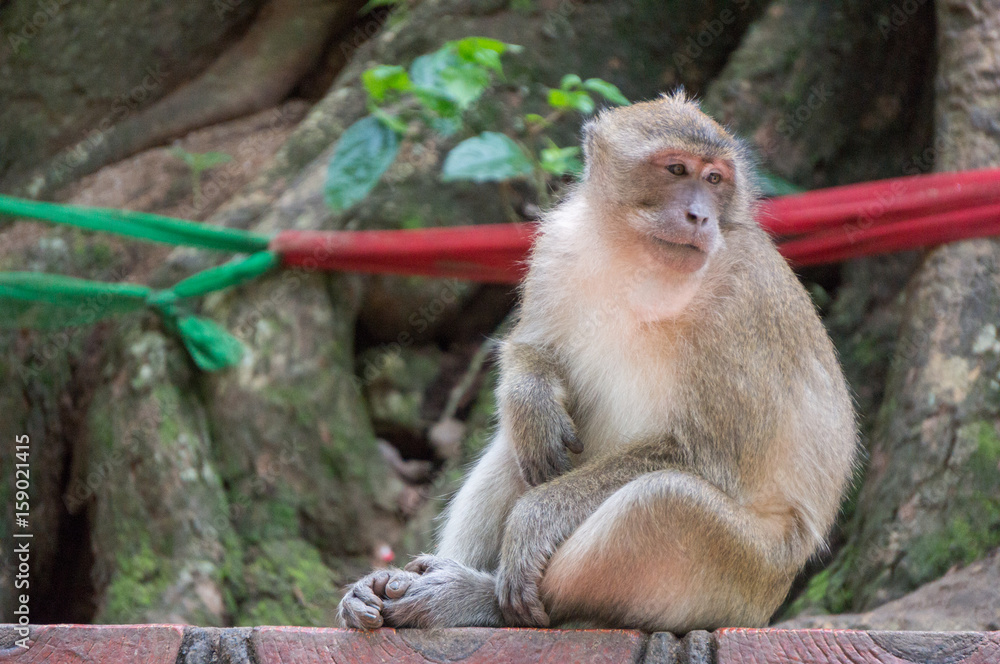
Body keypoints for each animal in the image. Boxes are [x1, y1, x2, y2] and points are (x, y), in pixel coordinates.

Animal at [337, 91, 858, 633]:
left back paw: (477, 600)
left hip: (748, 579)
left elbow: (704, 455)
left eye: (715, 180)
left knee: (663, 501)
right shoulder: (559, 242)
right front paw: (529, 392)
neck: (639, 263)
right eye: (677, 169)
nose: (700, 216)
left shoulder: (743, 304)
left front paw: (534, 517)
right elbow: (533, 349)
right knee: (525, 443)